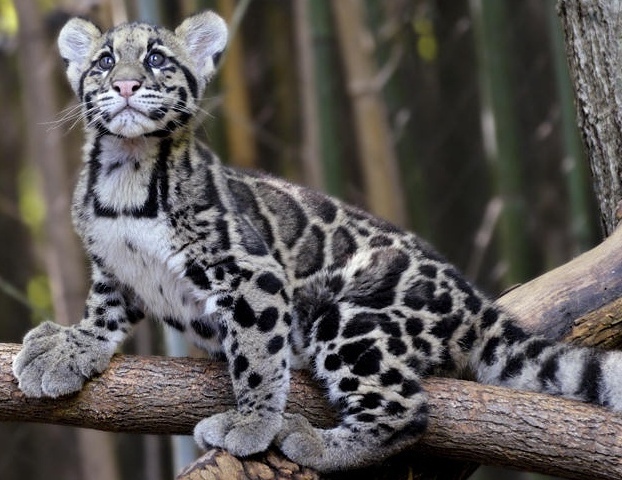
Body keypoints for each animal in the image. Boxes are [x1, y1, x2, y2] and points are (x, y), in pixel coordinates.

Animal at [12, 9, 622, 470]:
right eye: (104, 61)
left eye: (157, 59)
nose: (125, 84)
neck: (126, 168)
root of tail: (474, 302)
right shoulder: (114, 266)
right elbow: (104, 309)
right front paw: (69, 345)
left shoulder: (250, 273)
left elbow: (257, 352)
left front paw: (252, 421)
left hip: (349, 318)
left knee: (406, 411)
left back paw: (309, 441)